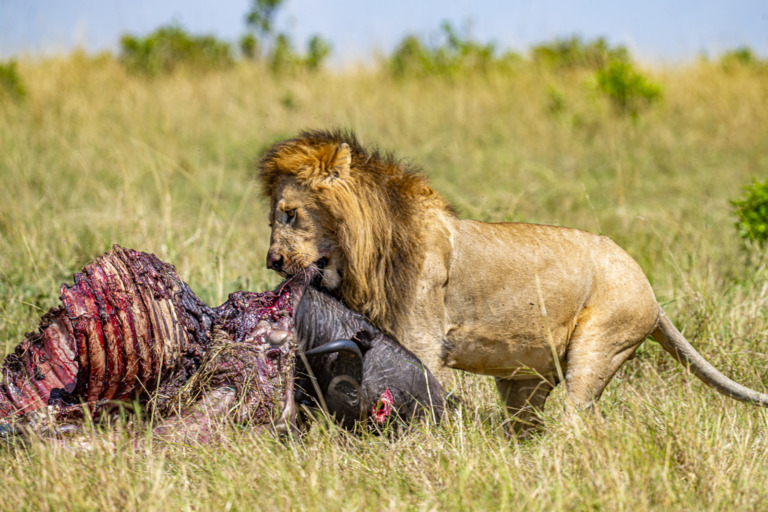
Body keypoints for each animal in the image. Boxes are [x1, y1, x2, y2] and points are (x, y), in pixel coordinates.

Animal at [258, 129, 768, 428]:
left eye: (290, 214)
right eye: (274, 218)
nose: (272, 260)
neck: (366, 255)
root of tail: (651, 291)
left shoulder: (421, 338)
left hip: (601, 346)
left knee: (575, 420)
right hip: (525, 380)